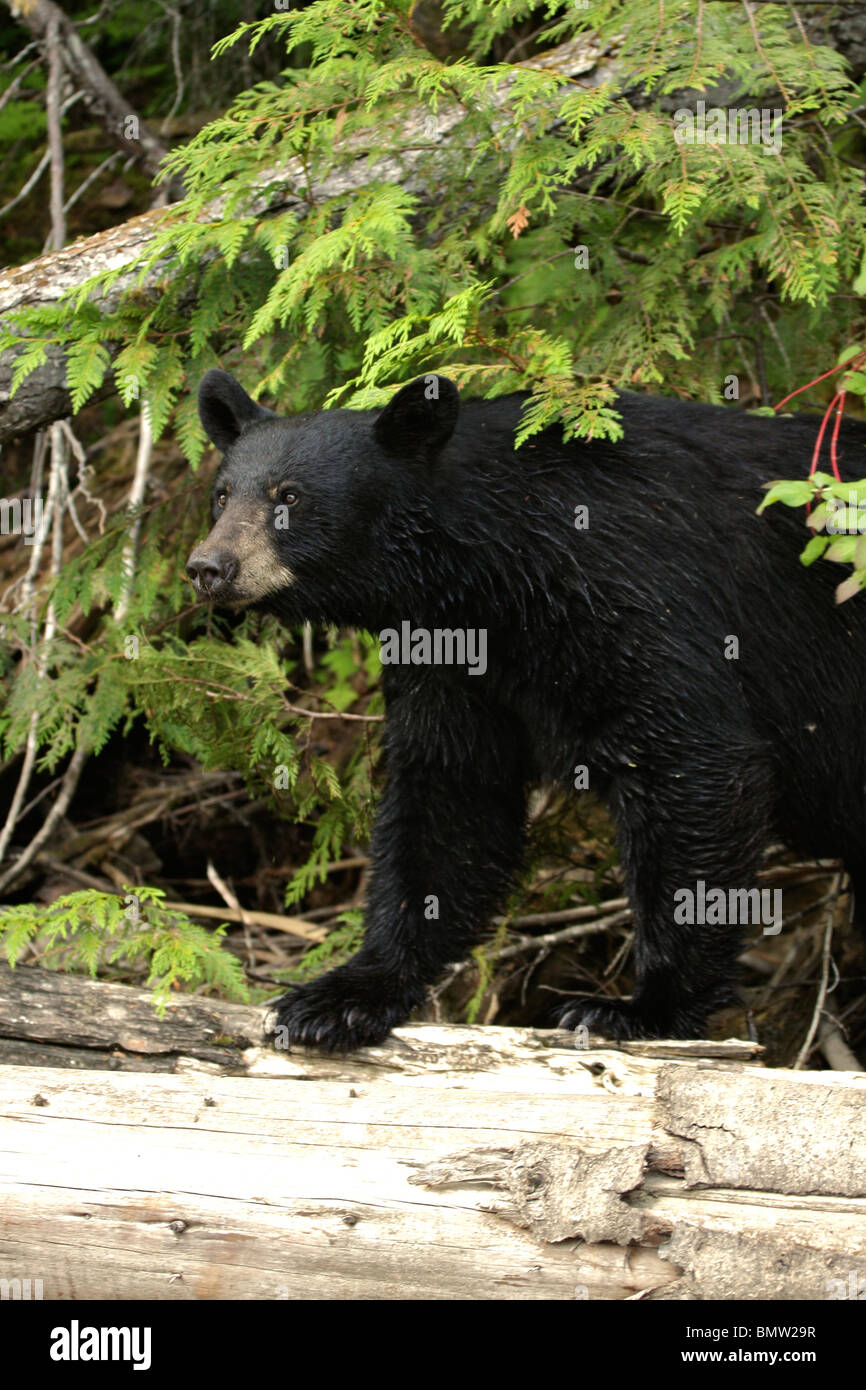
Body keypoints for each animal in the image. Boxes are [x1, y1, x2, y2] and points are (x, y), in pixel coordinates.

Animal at [187, 368, 866, 1051]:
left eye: (291, 496)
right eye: (221, 495)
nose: (208, 567)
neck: (499, 564)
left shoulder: (640, 590)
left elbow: (691, 758)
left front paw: (644, 1007)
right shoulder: (450, 656)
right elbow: (451, 794)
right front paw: (345, 995)